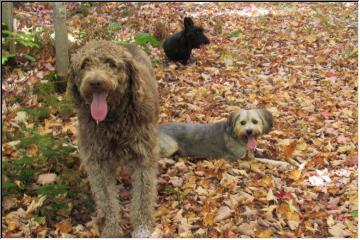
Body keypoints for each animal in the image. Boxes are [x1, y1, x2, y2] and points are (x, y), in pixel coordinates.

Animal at [67, 40, 158, 237]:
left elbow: (143, 195)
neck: (113, 120)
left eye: (110, 63)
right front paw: (111, 228)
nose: (95, 82)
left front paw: (142, 228)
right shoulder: (97, 161)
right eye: (85, 64)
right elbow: (107, 198)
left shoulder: (143, 157)